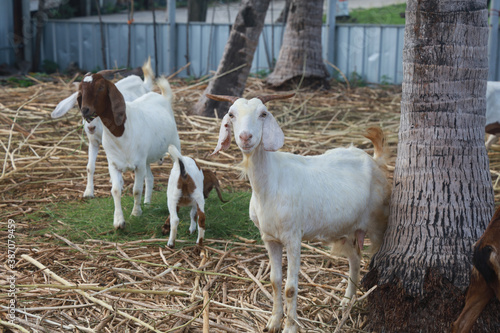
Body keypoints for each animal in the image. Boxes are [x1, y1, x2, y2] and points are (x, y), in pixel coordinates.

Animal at [51, 58, 155, 196]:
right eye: (81, 92)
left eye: (100, 88)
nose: (91, 127)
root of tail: (142, 84)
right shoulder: (93, 141)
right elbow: (90, 167)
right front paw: (88, 192)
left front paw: (119, 184)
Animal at [78, 73, 180, 228]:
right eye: (81, 90)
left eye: (101, 87)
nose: (85, 110)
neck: (121, 132)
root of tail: (163, 97)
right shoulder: (114, 164)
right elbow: (115, 190)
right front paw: (119, 221)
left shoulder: (139, 165)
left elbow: (136, 190)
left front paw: (136, 213)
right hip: (146, 158)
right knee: (150, 178)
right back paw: (147, 203)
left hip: (174, 143)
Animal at [207, 92, 390, 332]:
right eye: (231, 114)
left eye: (263, 113)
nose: (246, 137)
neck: (270, 184)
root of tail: (375, 160)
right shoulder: (269, 238)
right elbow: (275, 282)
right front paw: (273, 322)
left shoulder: (293, 237)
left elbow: (290, 287)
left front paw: (290, 327)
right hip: (345, 230)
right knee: (355, 258)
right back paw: (346, 301)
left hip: (378, 223)